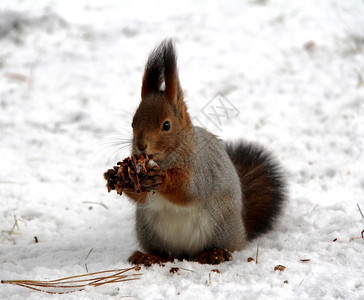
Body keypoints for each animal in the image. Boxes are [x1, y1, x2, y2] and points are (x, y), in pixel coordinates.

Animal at [118, 39, 286, 264]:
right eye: (132, 122)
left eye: (166, 125)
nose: (141, 145)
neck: (165, 159)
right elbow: (143, 199)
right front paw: (120, 180)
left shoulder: (202, 169)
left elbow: (189, 189)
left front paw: (163, 178)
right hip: (148, 229)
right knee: (165, 253)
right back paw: (149, 256)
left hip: (220, 225)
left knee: (224, 247)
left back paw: (213, 253)